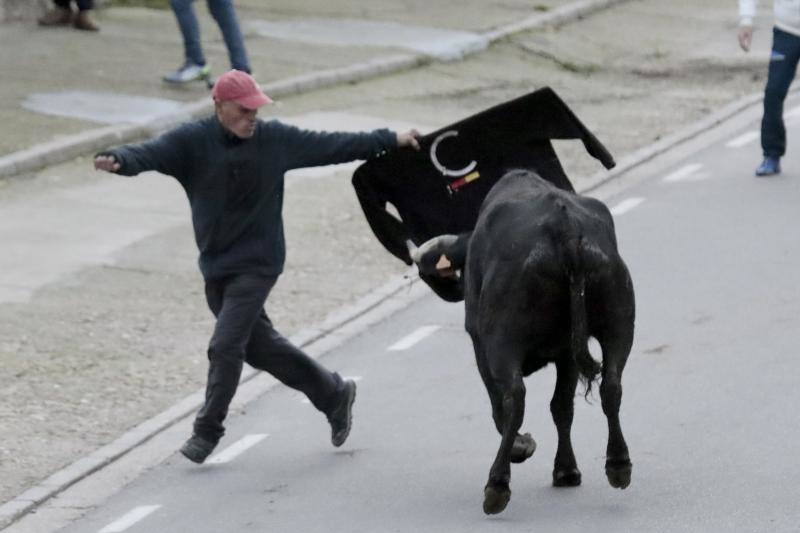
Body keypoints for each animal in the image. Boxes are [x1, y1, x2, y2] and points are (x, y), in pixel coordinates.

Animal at [412, 169, 632, 512]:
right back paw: (618, 465)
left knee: (513, 399)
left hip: (501, 345)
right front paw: (566, 470)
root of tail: (564, 226)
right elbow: (562, 407)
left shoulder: (480, 344)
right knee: (611, 386)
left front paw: (522, 447)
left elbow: (502, 409)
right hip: (618, 325)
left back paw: (497, 485)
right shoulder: (566, 354)